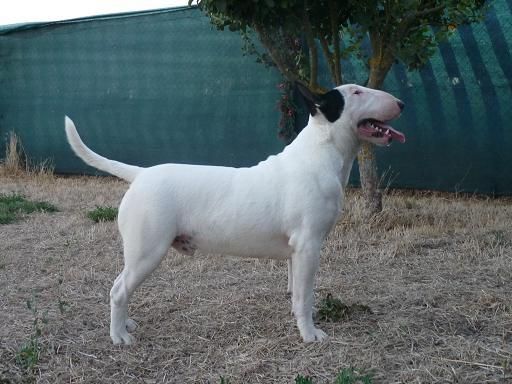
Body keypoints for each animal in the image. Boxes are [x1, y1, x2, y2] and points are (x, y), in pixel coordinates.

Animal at [66, 84, 406, 344]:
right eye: (357, 92)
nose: (401, 103)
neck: (319, 154)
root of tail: (140, 174)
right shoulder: (309, 244)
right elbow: (305, 295)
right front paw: (310, 334)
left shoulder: (296, 250)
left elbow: (296, 290)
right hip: (147, 250)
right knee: (118, 289)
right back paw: (119, 336)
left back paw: (126, 323)